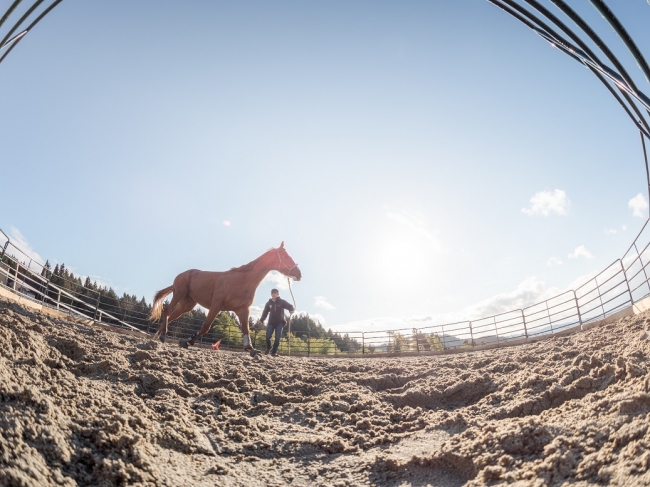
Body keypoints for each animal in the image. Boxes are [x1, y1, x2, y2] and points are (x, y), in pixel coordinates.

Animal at [148, 242, 300, 348]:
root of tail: (182, 275)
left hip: (187, 305)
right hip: (178, 294)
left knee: (170, 317)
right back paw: (162, 336)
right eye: (286, 256)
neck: (241, 281)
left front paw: (250, 348)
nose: (299, 274)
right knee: (167, 311)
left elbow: (246, 329)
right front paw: (187, 341)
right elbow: (206, 326)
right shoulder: (216, 305)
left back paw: (157, 337)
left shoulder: (242, 309)